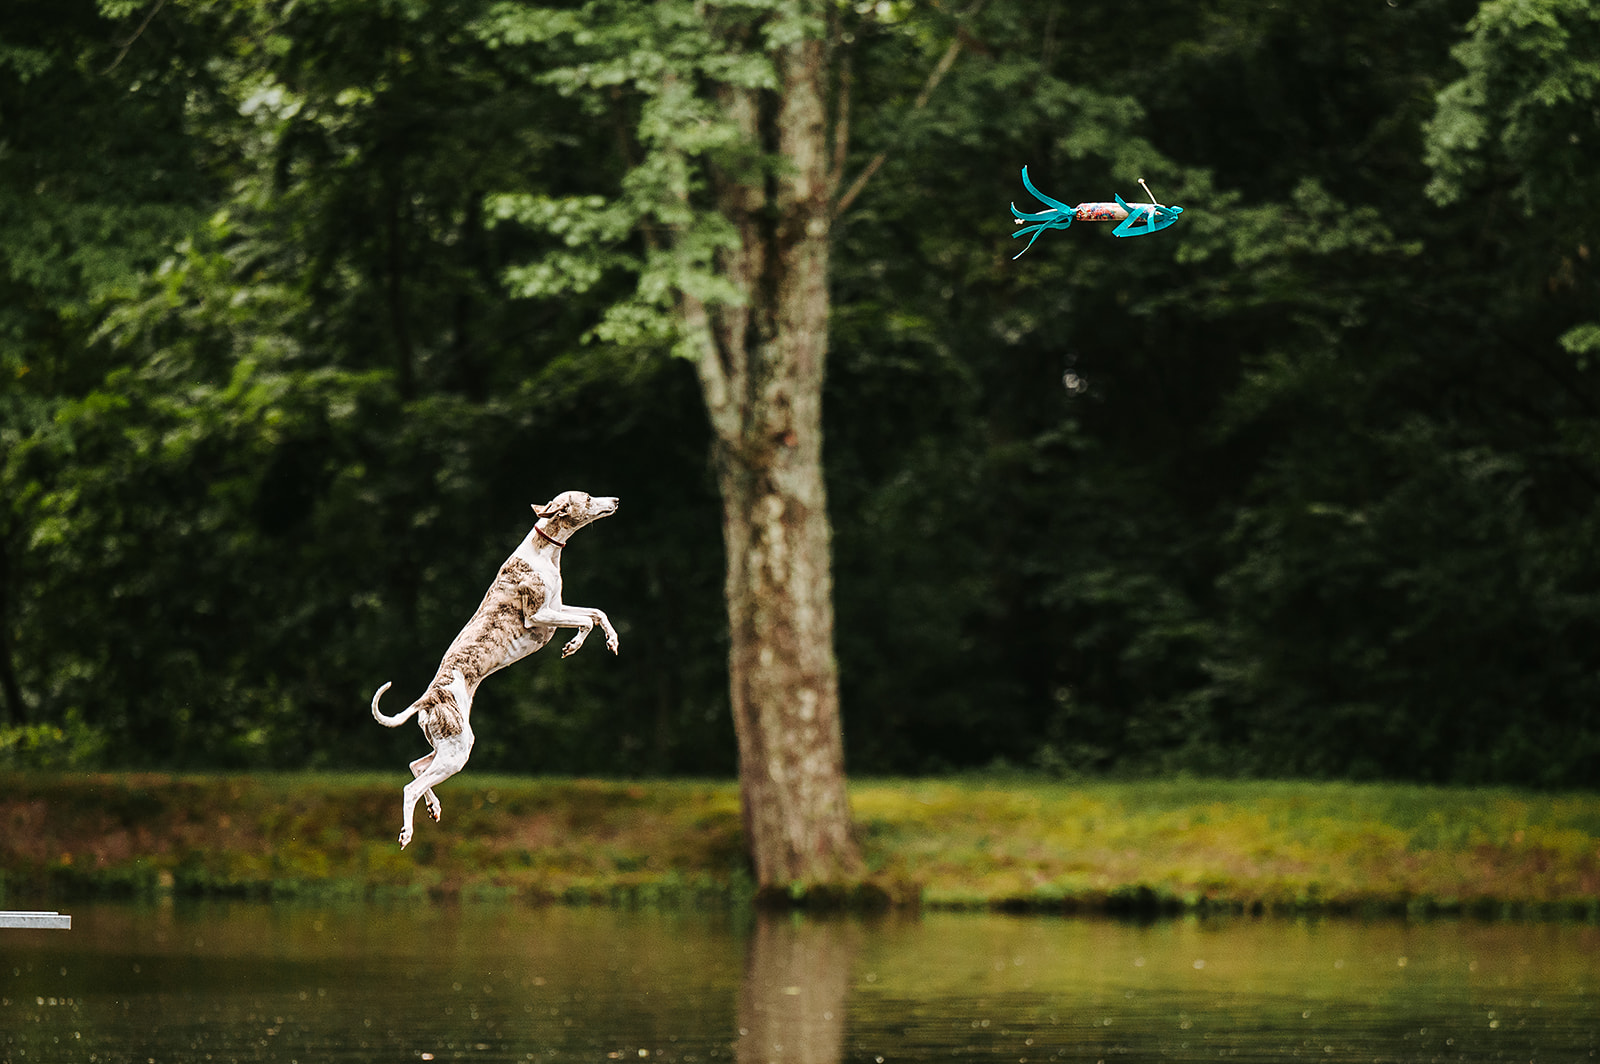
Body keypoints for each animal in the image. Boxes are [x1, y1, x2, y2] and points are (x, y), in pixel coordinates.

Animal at [371, 489, 620, 844]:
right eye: (586, 498)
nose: (615, 500)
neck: (542, 553)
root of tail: (428, 699)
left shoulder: (557, 607)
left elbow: (597, 613)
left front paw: (612, 641)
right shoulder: (539, 615)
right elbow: (585, 621)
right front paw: (573, 646)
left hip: (447, 747)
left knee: (416, 766)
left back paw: (433, 807)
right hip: (457, 750)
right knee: (411, 787)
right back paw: (407, 832)